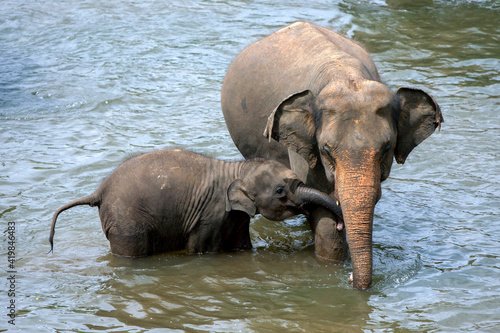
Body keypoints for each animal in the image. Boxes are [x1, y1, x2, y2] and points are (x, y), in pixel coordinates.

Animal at [48, 149, 342, 255]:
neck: (236, 169)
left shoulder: (236, 217)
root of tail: (99, 191)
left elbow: (241, 245)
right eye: (281, 190)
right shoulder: (210, 215)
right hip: (126, 223)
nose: (340, 225)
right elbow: (199, 250)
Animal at [221, 22, 444, 290]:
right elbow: (324, 214)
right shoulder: (305, 150)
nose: (351, 279)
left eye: (386, 148)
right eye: (326, 150)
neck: (345, 76)